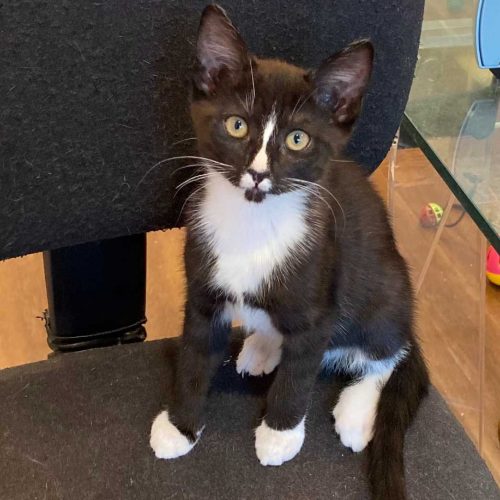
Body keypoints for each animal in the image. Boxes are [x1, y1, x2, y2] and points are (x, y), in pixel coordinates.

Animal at [150, 5, 429, 500]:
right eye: (236, 124)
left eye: (298, 139)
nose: (259, 174)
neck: (252, 224)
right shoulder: (203, 291)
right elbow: (194, 354)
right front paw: (179, 426)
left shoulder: (321, 300)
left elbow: (299, 375)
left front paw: (279, 435)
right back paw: (262, 346)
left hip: (386, 288)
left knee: (389, 350)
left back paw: (357, 411)